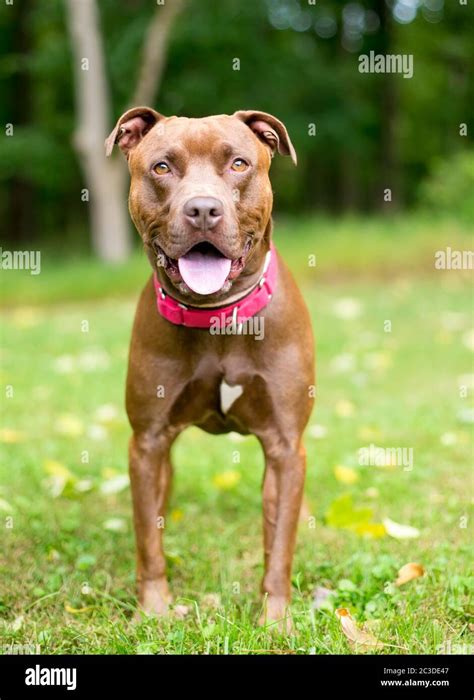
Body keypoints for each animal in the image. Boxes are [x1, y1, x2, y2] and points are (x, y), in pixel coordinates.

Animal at [106, 106, 316, 628]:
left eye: (238, 163)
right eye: (162, 167)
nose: (203, 209)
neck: (215, 316)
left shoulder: (285, 447)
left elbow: (279, 541)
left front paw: (275, 619)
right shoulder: (148, 441)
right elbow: (149, 537)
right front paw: (155, 611)